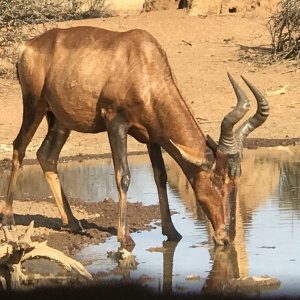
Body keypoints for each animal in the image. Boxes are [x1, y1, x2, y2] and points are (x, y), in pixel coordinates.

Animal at [0, 25, 270, 246]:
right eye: (217, 178)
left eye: (237, 179)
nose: (226, 237)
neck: (143, 62)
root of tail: (27, 46)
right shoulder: (116, 124)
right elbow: (124, 176)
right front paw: (125, 238)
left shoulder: (153, 136)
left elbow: (160, 176)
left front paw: (172, 232)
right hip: (34, 105)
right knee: (19, 147)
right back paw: (9, 218)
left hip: (60, 119)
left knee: (47, 156)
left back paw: (74, 223)